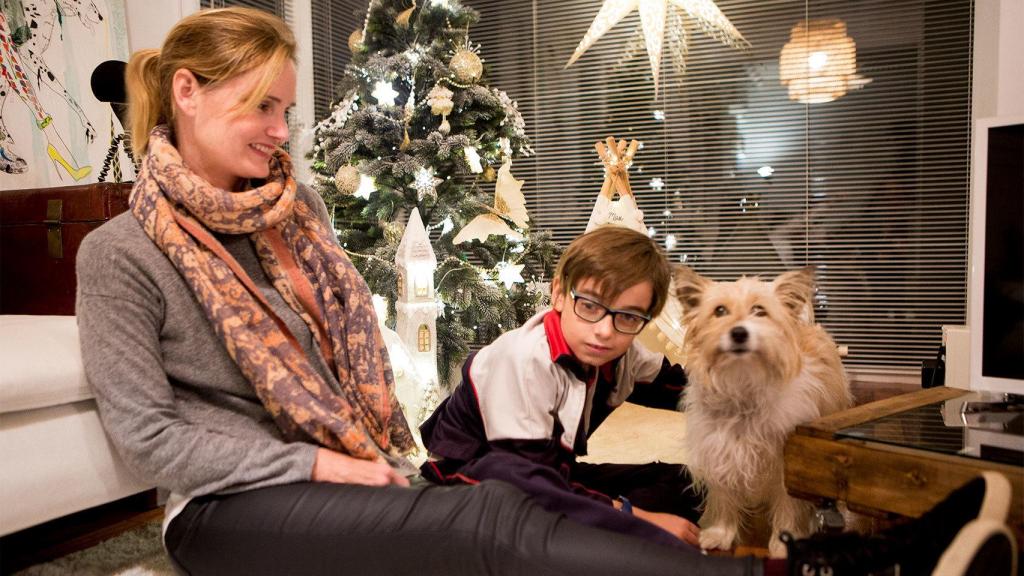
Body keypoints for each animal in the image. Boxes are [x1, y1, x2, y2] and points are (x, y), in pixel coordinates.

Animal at [675, 266, 851, 557]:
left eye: (760, 310)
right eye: (719, 311)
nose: (738, 333)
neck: (742, 385)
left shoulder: (787, 467)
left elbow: (789, 505)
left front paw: (783, 542)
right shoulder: (719, 453)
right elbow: (724, 498)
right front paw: (720, 533)